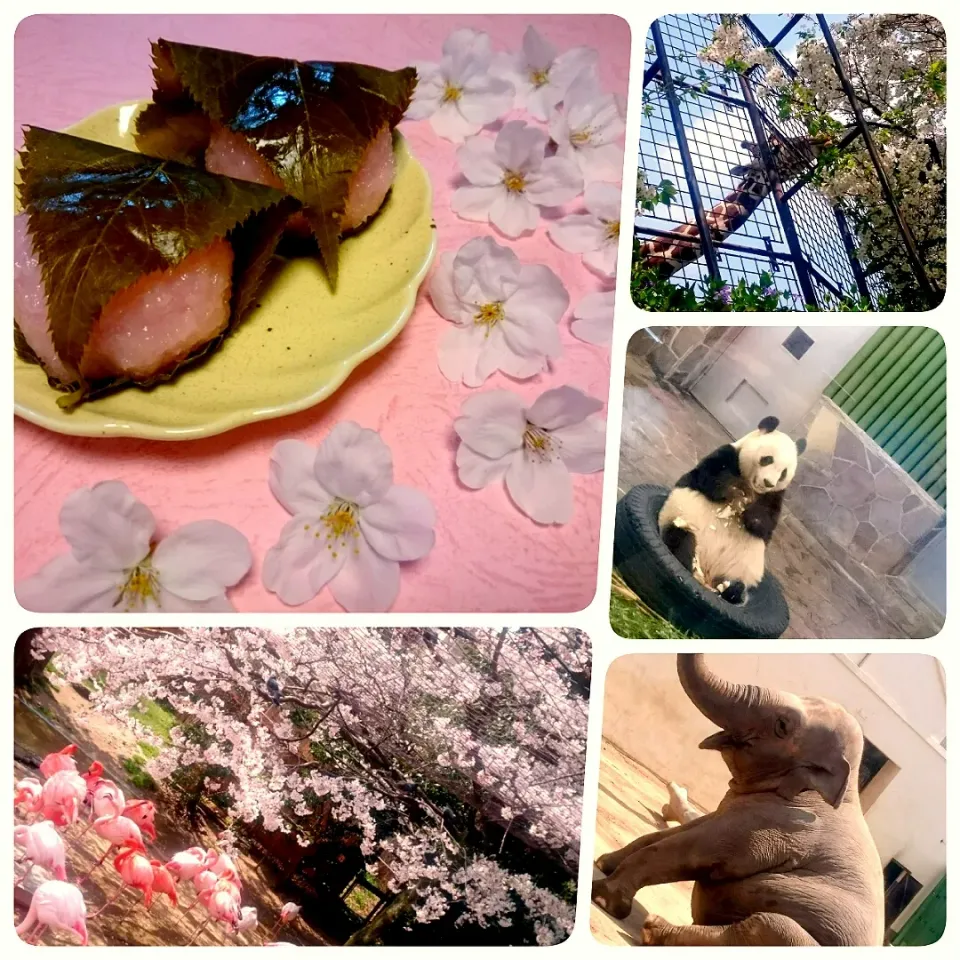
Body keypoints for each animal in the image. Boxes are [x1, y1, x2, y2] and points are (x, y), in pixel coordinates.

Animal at [592, 652, 884, 944]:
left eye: (782, 725)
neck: (847, 793)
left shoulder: (776, 827)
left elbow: (697, 848)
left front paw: (604, 898)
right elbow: (674, 833)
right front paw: (604, 862)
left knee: (768, 924)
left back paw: (653, 927)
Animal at [656, 416, 808, 604]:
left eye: (784, 473)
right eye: (767, 459)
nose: (768, 483)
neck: (750, 485)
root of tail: (708, 577)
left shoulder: (774, 495)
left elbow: (767, 522)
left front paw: (751, 516)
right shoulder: (727, 455)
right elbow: (708, 478)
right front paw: (732, 492)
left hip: (742, 568)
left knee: (737, 583)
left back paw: (733, 592)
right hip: (679, 521)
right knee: (681, 539)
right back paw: (687, 563)